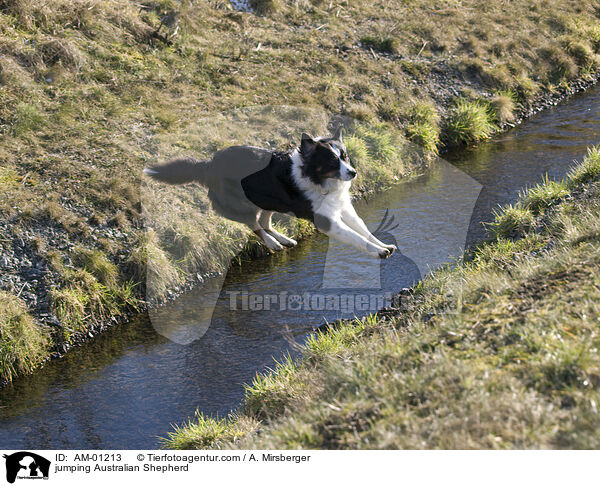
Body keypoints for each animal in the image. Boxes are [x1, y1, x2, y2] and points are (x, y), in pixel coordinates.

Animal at [145, 128, 396, 258]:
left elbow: (363, 229)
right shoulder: (326, 220)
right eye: (332, 161)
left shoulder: (344, 208)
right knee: (254, 225)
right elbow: (354, 236)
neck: (317, 179)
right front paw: (378, 252)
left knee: (264, 222)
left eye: (345, 156)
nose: (353, 172)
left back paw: (284, 239)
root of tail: (208, 164)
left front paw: (383, 244)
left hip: (267, 201)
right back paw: (273, 243)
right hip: (242, 204)